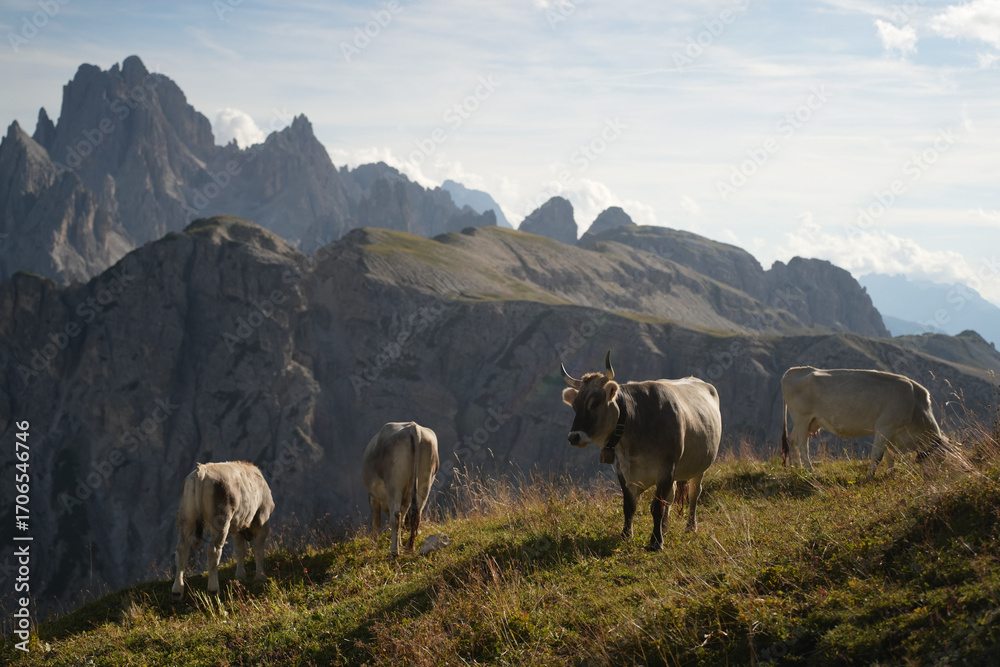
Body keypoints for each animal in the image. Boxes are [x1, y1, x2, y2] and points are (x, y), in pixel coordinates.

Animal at [171, 461, 274, 601]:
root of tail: (201, 471)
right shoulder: (262, 521)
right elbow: (258, 550)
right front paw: (260, 576)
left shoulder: (237, 526)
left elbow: (240, 550)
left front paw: (240, 575)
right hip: (221, 521)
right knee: (213, 551)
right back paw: (213, 590)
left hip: (185, 517)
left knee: (182, 550)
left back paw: (177, 591)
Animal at [362, 421, 440, 555]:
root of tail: (413, 427)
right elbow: (404, 517)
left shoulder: (373, 496)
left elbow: (376, 521)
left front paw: (373, 545)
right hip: (425, 481)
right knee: (416, 514)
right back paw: (409, 548)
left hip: (394, 483)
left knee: (396, 516)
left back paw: (394, 552)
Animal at [561, 352, 722, 551]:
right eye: (575, 406)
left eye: (595, 403)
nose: (574, 436)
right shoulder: (623, 470)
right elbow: (629, 506)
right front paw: (626, 535)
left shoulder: (667, 468)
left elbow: (657, 507)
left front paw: (656, 542)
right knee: (671, 497)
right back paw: (665, 528)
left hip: (699, 467)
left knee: (693, 494)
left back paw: (690, 527)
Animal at [780, 366, 949, 475]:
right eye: (940, 459)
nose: (934, 477)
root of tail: (795, 370)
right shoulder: (884, 427)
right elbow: (877, 456)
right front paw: (870, 476)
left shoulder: (892, 435)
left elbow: (890, 456)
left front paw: (891, 473)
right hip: (801, 418)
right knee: (803, 447)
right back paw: (812, 473)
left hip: (808, 422)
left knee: (793, 441)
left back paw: (799, 469)